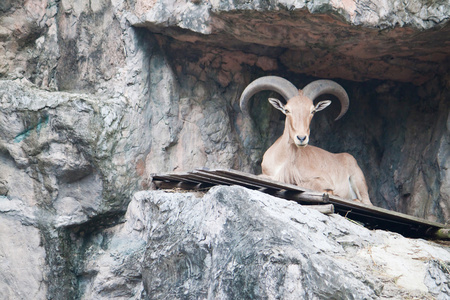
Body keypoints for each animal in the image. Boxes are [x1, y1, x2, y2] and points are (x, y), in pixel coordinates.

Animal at [239, 76, 372, 205]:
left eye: (312, 111)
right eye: (287, 110)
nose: (301, 138)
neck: (284, 160)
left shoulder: (322, 179)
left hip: (358, 182)